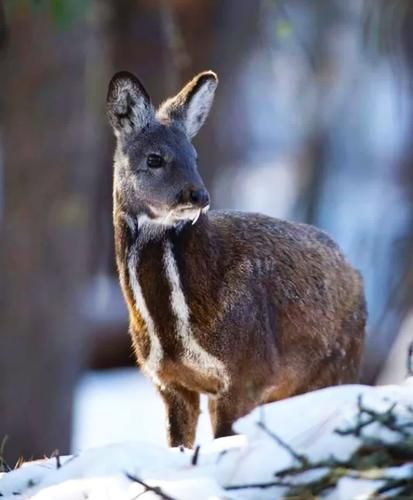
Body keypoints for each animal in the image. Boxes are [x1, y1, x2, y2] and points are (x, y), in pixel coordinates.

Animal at [105, 68, 364, 448]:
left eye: (194, 156)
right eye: (154, 158)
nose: (198, 195)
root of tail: (355, 270)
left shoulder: (248, 371)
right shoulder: (168, 381)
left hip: (340, 363)